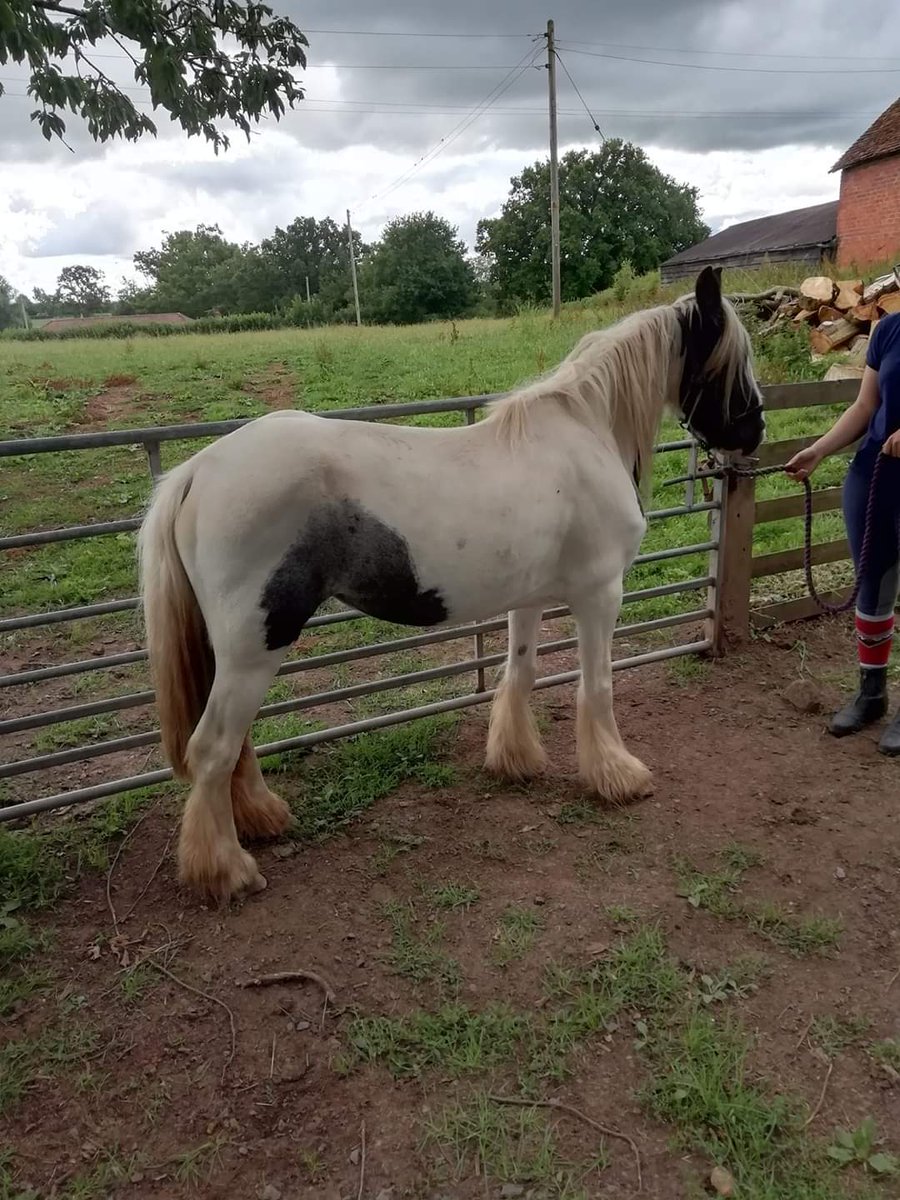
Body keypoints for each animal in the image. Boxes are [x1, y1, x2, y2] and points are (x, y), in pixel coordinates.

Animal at [137, 265, 763, 902]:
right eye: (733, 359)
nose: (755, 431)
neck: (587, 433)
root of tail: (197, 471)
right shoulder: (600, 595)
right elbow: (598, 688)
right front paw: (619, 776)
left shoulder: (529, 600)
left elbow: (520, 673)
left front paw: (517, 759)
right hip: (255, 646)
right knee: (212, 746)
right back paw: (226, 869)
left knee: (233, 743)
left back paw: (262, 818)